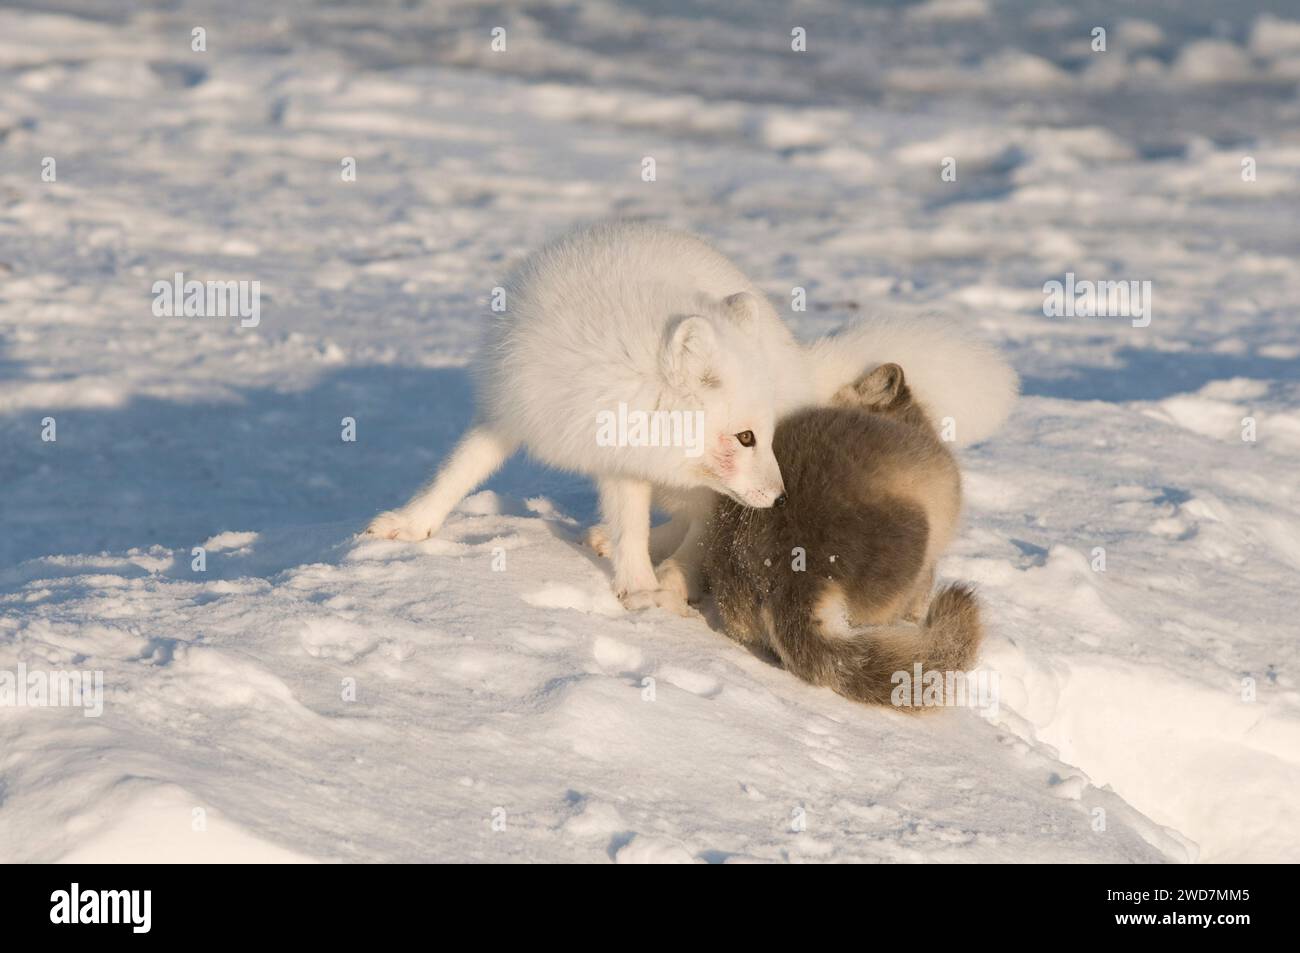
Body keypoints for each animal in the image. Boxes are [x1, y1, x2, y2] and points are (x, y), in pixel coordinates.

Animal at [371, 221, 1019, 608]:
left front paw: (638, 588)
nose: (780, 498)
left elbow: (641, 526)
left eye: (768, 435)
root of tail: (797, 356)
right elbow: (458, 469)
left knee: (698, 530)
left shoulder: (627, 454)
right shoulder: (521, 410)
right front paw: (409, 525)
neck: (610, 359)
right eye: (746, 436)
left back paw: (670, 577)